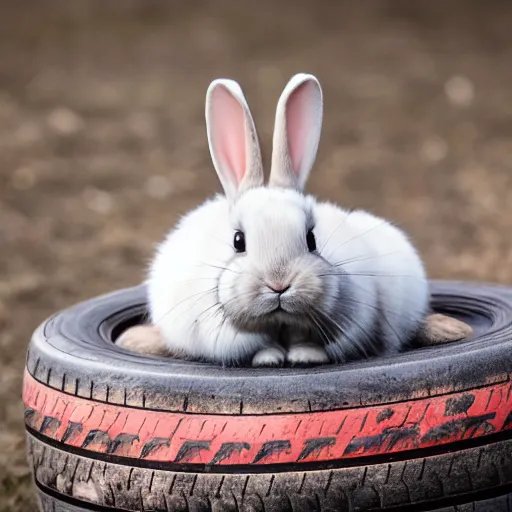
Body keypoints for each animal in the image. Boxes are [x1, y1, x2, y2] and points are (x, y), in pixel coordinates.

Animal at [144, 73, 428, 368]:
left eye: (312, 239)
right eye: (238, 241)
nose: (278, 284)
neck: (279, 321)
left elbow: (307, 340)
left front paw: (305, 356)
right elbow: (258, 345)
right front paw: (269, 358)